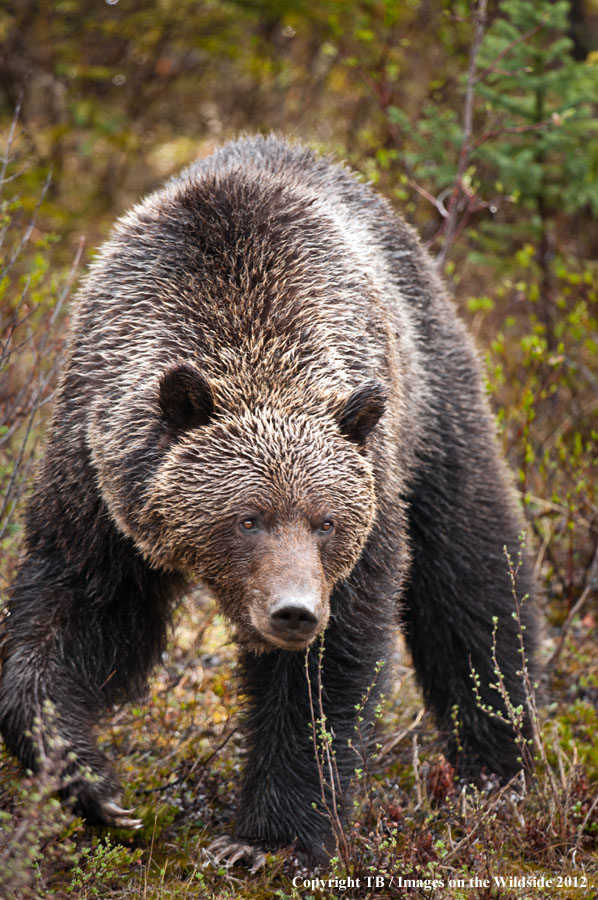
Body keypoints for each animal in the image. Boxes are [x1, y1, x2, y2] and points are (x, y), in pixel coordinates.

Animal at [0, 135, 538, 867]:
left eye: (326, 521)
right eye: (247, 518)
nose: (294, 612)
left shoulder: (365, 502)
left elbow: (325, 673)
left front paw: (266, 839)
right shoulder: (97, 476)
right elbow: (78, 613)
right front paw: (91, 783)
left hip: (433, 399)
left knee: (473, 573)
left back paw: (498, 760)